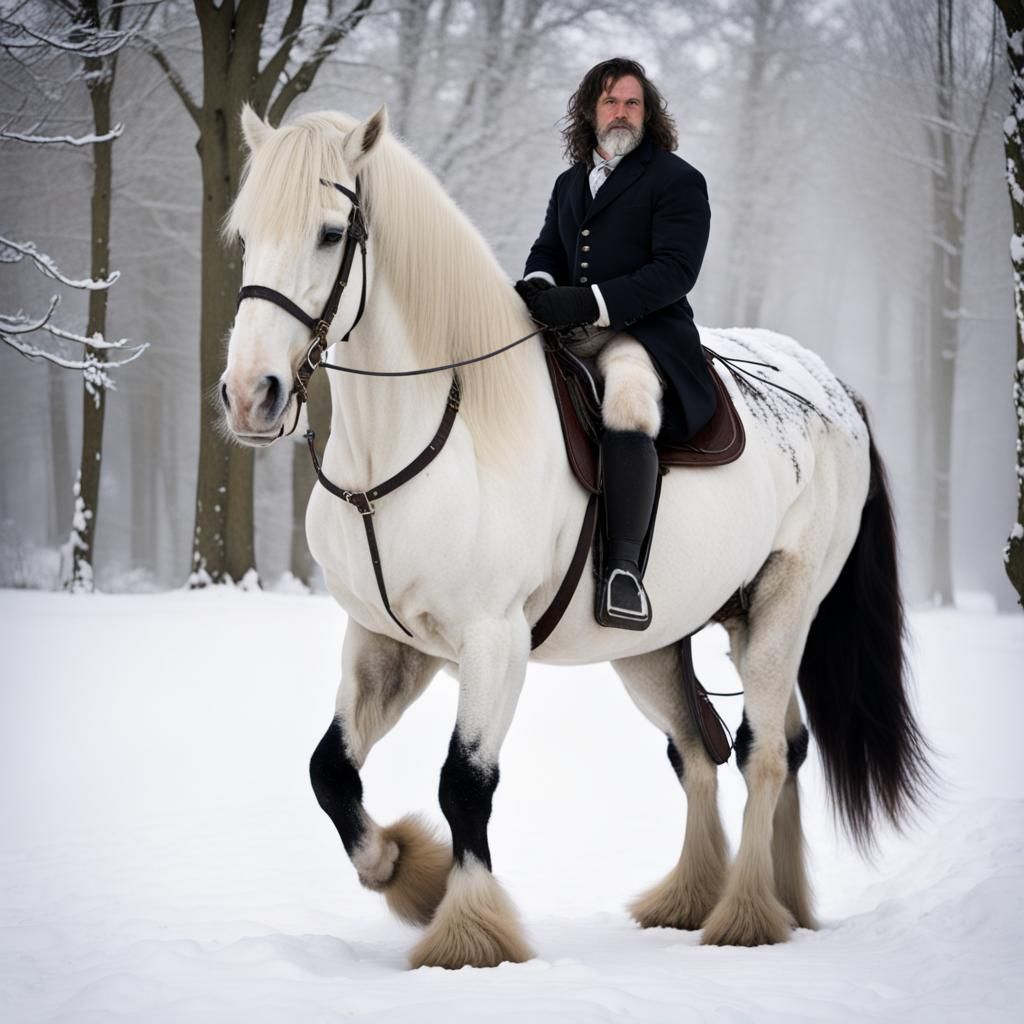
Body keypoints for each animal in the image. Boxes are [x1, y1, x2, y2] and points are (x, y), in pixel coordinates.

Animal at [220, 104, 932, 970]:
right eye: (246, 234)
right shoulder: (385, 642)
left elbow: (464, 784)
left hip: (783, 610)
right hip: (658, 644)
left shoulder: (494, 640)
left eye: (329, 234)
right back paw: (723, 899)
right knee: (705, 752)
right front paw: (400, 870)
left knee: (764, 752)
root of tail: (830, 388)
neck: (438, 432)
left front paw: (467, 931)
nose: (249, 395)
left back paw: (745, 915)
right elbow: (331, 772)